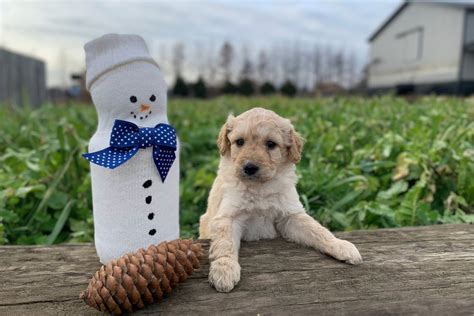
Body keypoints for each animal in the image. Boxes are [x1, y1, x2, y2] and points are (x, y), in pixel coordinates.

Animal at [198, 107, 362, 292]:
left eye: (271, 144)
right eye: (239, 142)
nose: (249, 167)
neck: (260, 187)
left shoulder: (290, 215)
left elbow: (318, 230)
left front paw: (340, 245)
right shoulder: (227, 216)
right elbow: (224, 243)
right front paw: (224, 269)